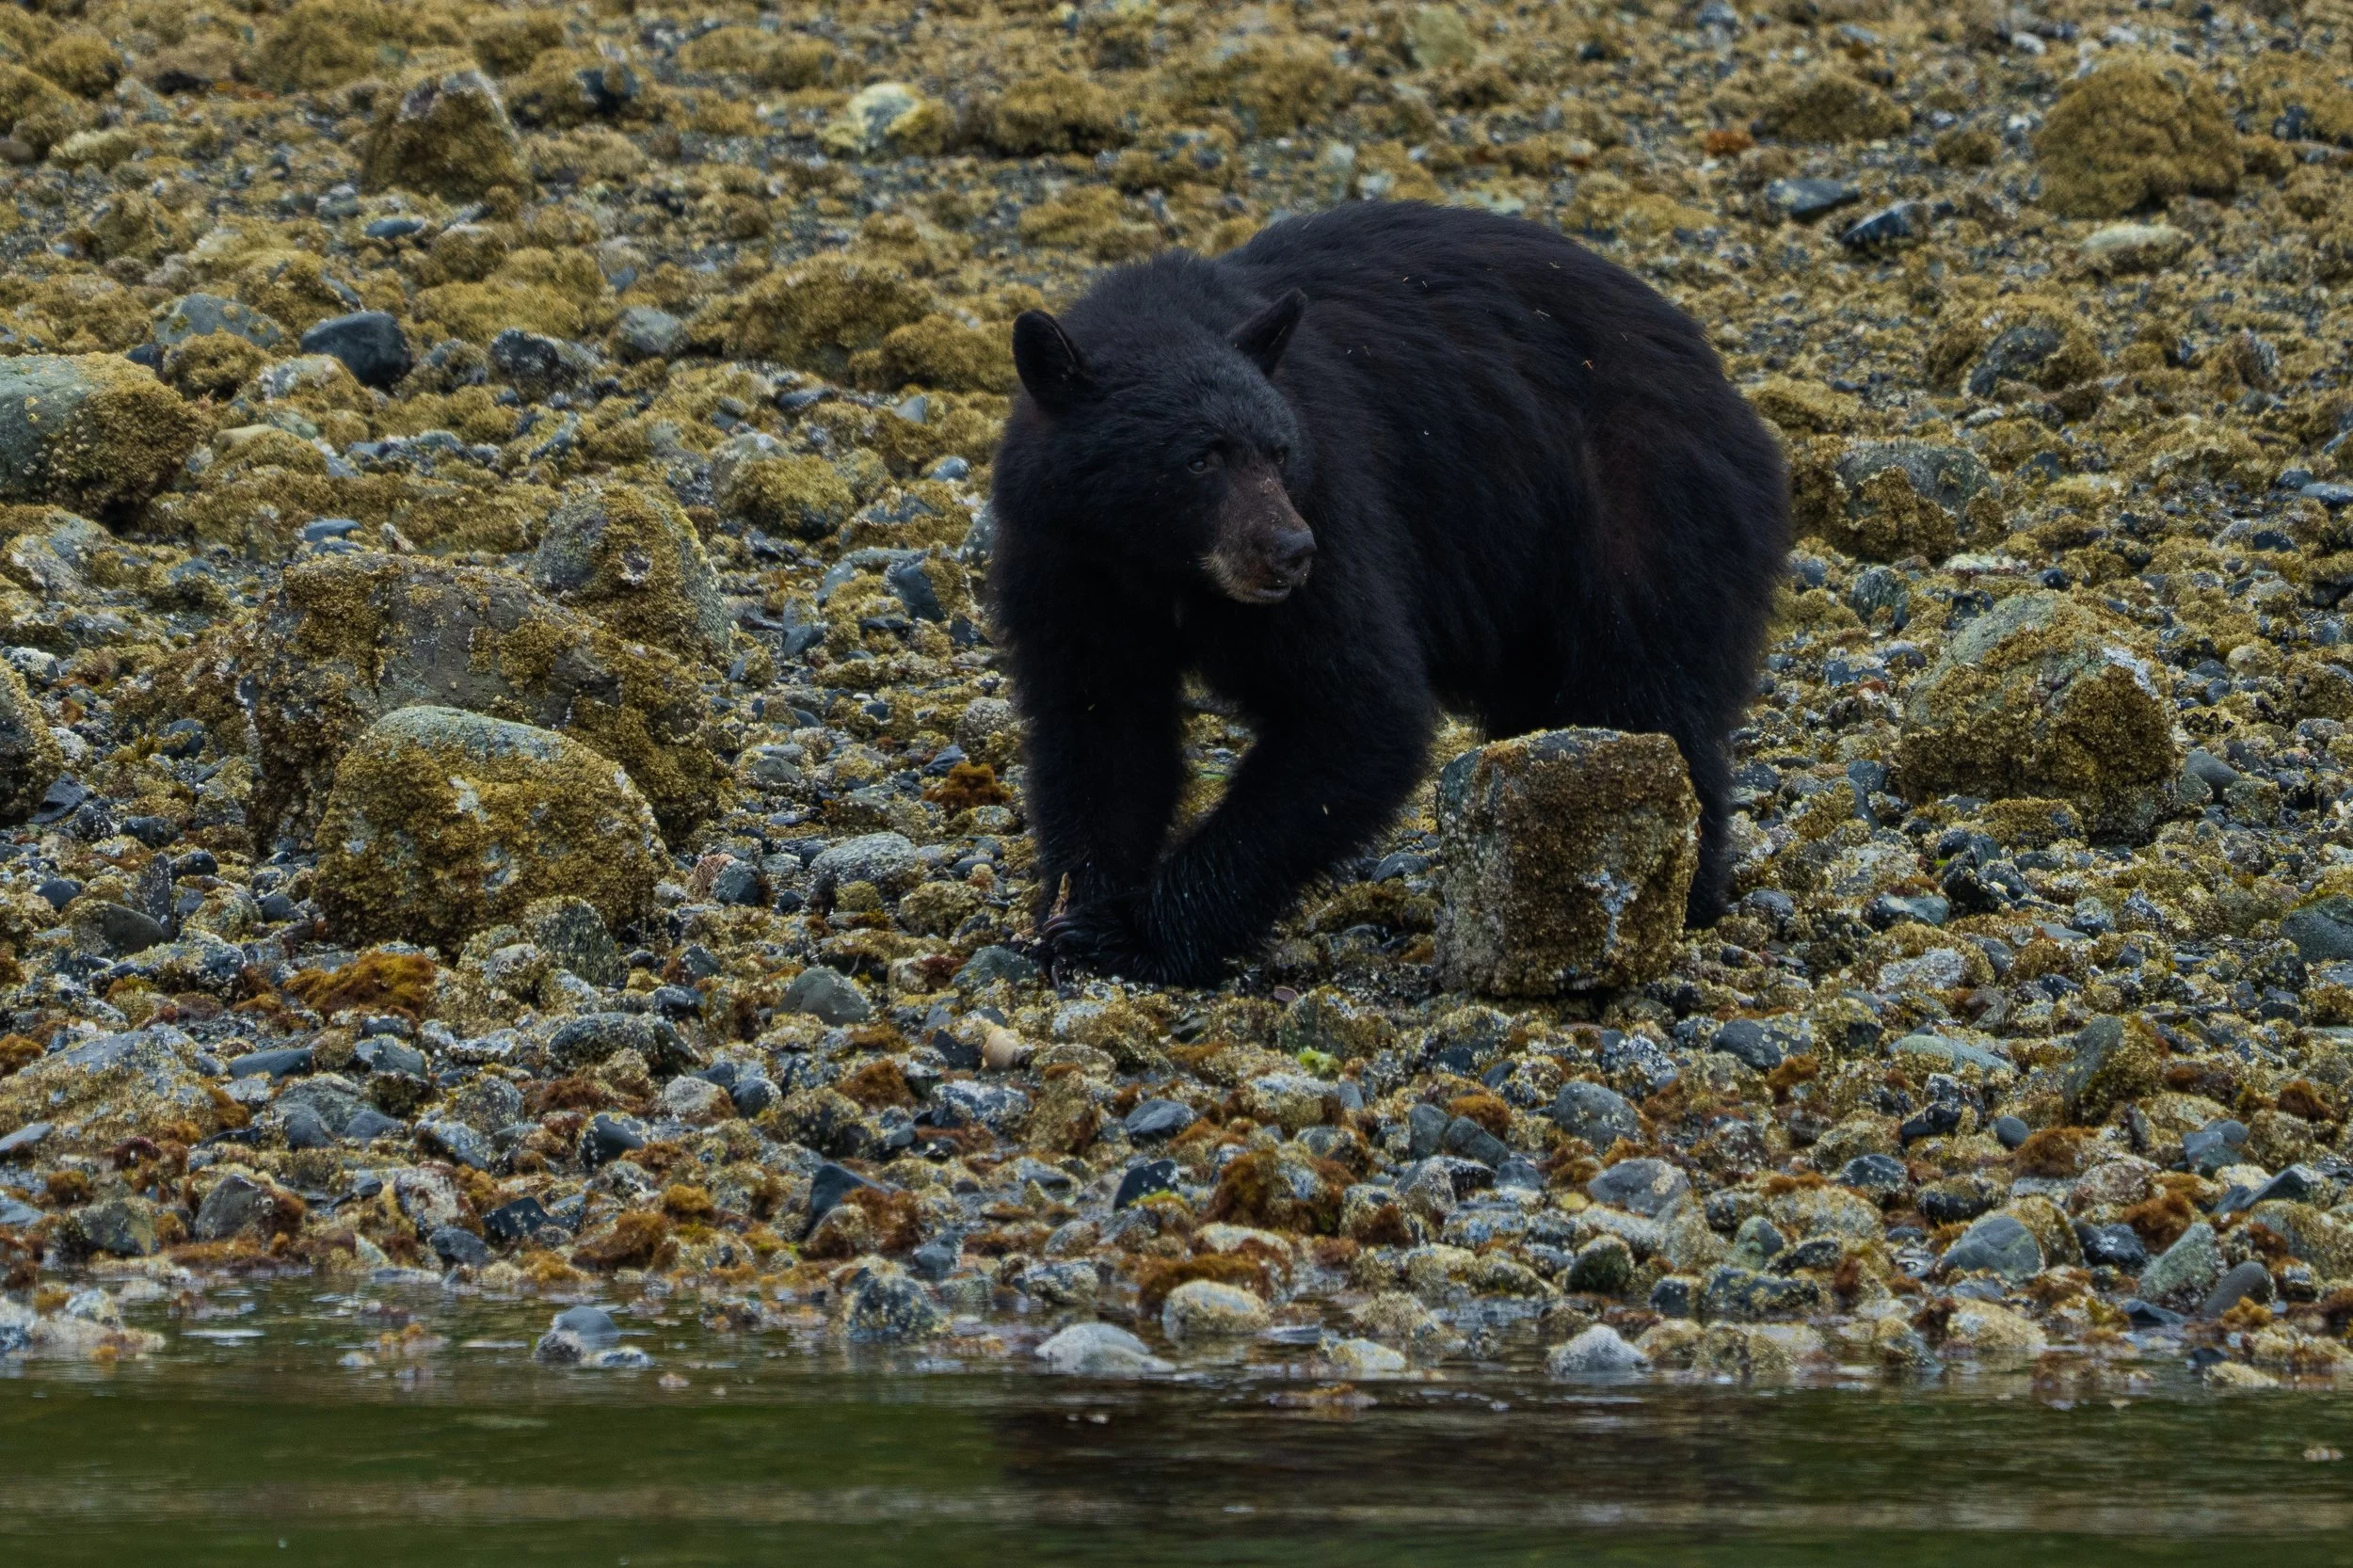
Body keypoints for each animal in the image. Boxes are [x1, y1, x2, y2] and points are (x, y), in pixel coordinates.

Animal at [987, 200, 1788, 987]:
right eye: (1200, 459)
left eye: (1279, 451)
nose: (1290, 551)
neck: (1159, 566)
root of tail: (1720, 377)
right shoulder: (1064, 565)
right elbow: (1100, 728)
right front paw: (1073, 912)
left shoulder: (1336, 504)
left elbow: (1358, 711)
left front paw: (1133, 933)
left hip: (1641, 502)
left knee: (1645, 698)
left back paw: (1674, 896)